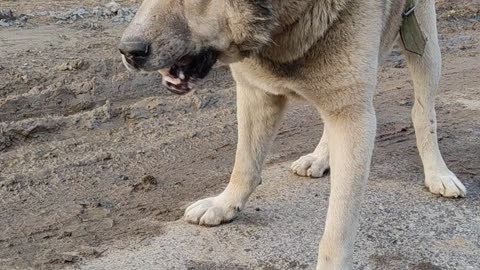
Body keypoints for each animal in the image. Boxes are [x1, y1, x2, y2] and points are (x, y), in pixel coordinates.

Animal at [119, 1, 464, 268]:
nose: (128, 51)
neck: (284, 25)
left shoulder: (352, 113)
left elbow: (337, 228)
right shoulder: (256, 92)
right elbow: (244, 165)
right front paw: (224, 204)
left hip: (424, 45)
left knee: (422, 113)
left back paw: (438, 173)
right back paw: (321, 157)